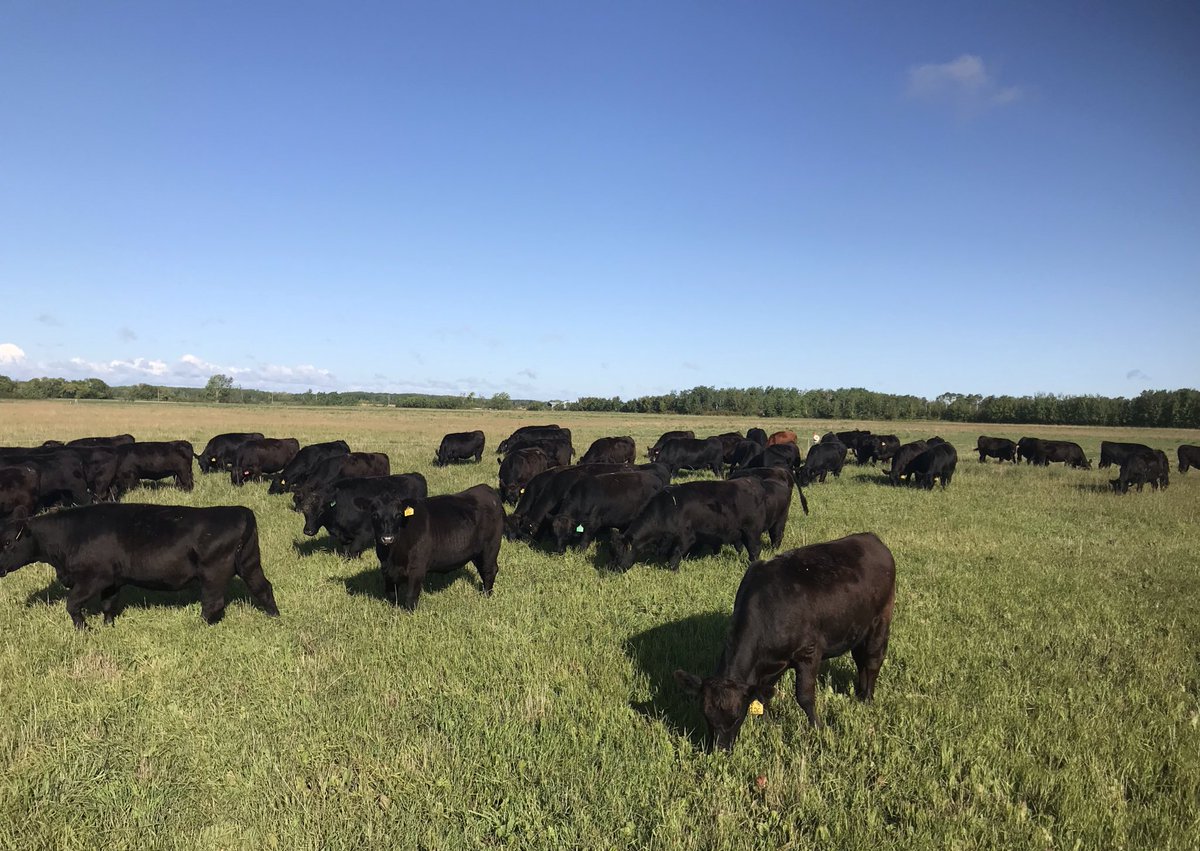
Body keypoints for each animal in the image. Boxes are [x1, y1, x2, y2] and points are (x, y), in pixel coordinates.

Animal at [0, 503, 279, 629]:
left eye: (7, 542)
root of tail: (239, 510)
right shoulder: (112, 581)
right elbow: (109, 605)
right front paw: (108, 626)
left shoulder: (94, 578)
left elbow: (72, 604)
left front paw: (84, 629)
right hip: (250, 564)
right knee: (263, 588)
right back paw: (274, 616)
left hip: (213, 574)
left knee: (213, 603)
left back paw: (197, 626)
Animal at [298, 473, 429, 557]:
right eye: (304, 512)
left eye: (321, 511)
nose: (308, 531)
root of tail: (415, 475)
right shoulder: (344, 536)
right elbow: (346, 551)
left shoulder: (364, 533)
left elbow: (353, 550)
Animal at [367, 483, 504, 611]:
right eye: (374, 515)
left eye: (399, 514)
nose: (387, 538)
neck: (392, 555)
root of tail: (485, 488)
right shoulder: (386, 569)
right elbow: (391, 594)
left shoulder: (417, 569)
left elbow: (411, 596)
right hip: (476, 553)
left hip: (491, 547)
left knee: (489, 570)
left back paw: (486, 595)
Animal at [609, 479, 768, 572]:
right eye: (612, 553)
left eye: (620, 553)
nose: (614, 570)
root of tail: (752, 483)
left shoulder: (686, 538)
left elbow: (675, 556)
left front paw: (674, 571)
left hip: (752, 531)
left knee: (755, 549)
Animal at [673, 532, 895, 751]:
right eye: (706, 715)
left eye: (736, 717)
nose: (720, 749)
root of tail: (871, 539)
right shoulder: (771, 663)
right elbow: (762, 696)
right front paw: (768, 724)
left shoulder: (809, 652)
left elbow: (805, 696)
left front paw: (817, 728)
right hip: (858, 629)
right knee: (860, 659)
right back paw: (860, 692)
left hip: (881, 620)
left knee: (873, 660)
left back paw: (867, 698)